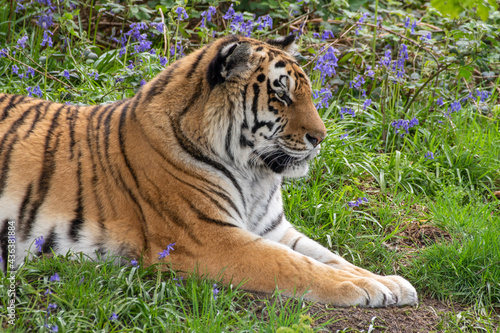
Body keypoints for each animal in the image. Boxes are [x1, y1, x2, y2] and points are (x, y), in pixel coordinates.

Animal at [0, 34, 416, 306]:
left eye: (308, 92)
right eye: (281, 94)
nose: (321, 137)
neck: (256, 174)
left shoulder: (273, 229)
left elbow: (330, 256)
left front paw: (392, 283)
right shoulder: (210, 238)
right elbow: (296, 265)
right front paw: (365, 289)